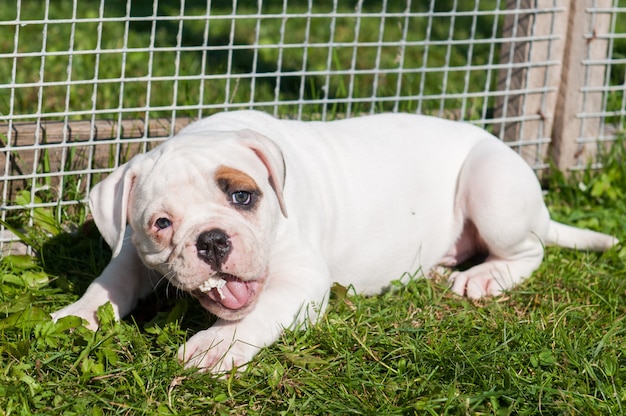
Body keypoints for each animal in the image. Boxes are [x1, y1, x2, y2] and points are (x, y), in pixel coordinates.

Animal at [50, 110, 616, 374]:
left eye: (242, 196)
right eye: (162, 223)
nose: (211, 241)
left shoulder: (302, 282)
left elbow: (255, 316)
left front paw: (212, 348)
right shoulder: (132, 250)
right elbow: (110, 283)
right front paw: (74, 317)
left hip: (491, 185)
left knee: (529, 251)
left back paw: (482, 279)